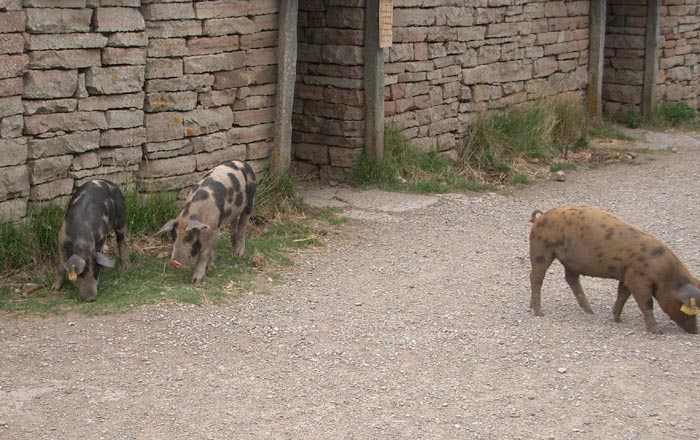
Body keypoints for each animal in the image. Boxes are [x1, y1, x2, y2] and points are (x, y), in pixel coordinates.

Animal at [528, 206, 700, 334]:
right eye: (689, 309)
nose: (695, 331)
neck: (666, 273)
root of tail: (540, 218)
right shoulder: (638, 279)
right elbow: (646, 303)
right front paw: (658, 332)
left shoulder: (626, 277)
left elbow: (622, 295)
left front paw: (617, 320)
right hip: (541, 250)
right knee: (536, 277)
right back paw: (539, 312)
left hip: (570, 261)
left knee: (571, 279)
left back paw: (590, 311)